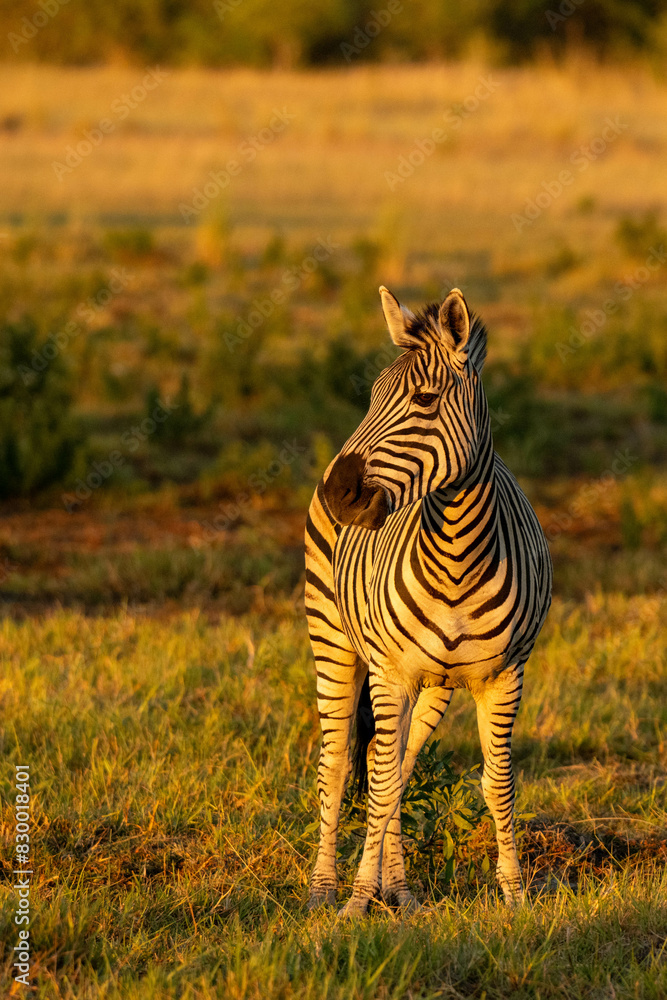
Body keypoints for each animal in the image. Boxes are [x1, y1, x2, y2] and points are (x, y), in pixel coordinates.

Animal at [304, 286, 552, 916]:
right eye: (371, 397)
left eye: (424, 399)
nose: (339, 493)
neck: (458, 553)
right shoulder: (390, 671)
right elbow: (376, 782)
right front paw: (356, 905)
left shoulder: (505, 675)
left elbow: (494, 782)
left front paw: (515, 894)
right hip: (333, 639)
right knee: (339, 764)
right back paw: (323, 889)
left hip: (436, 681)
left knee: (398, 762)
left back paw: (402, 890)